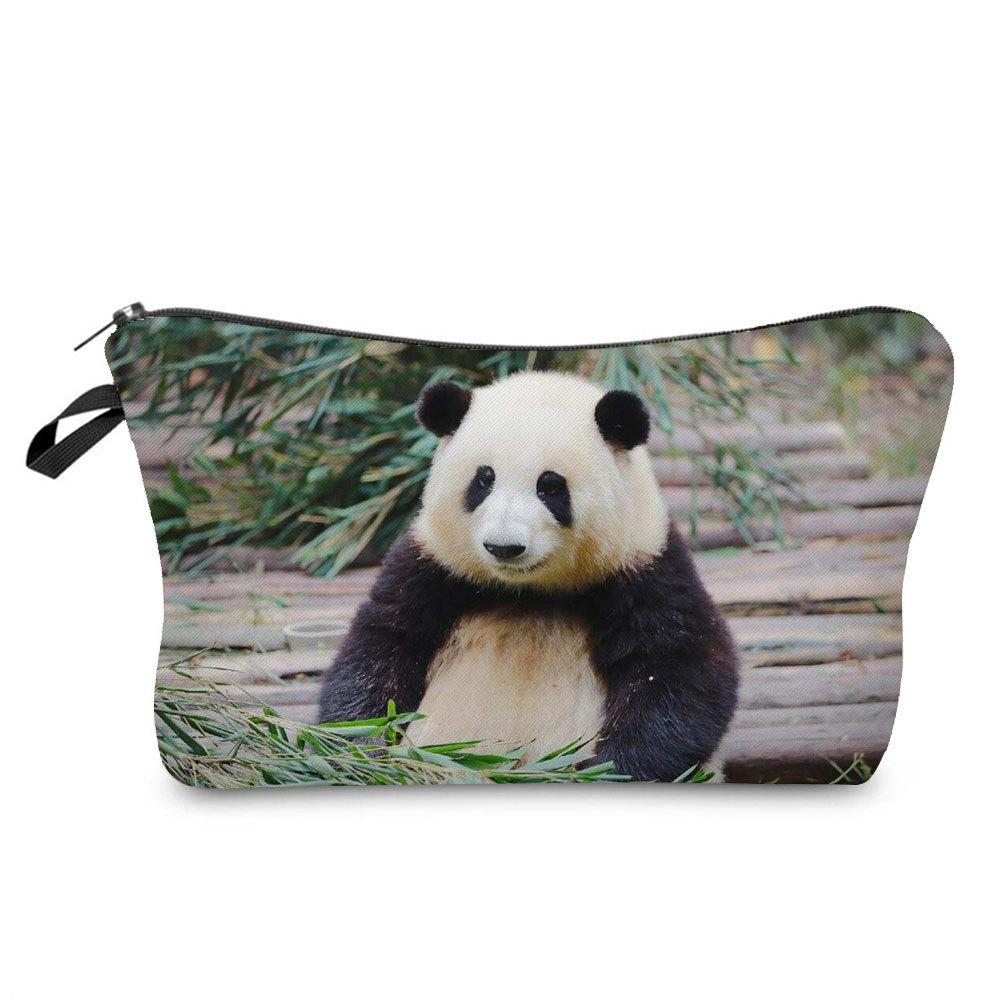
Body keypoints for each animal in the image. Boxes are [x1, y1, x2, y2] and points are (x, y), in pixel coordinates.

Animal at [318, 371, 739, 781]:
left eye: (550, 486)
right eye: (483, 479)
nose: (504, 547)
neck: (528, 591)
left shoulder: (645, 568)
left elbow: (680, 670)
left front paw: (610, 769)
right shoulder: (432, 566)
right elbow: (380, 649)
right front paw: (361, 753)